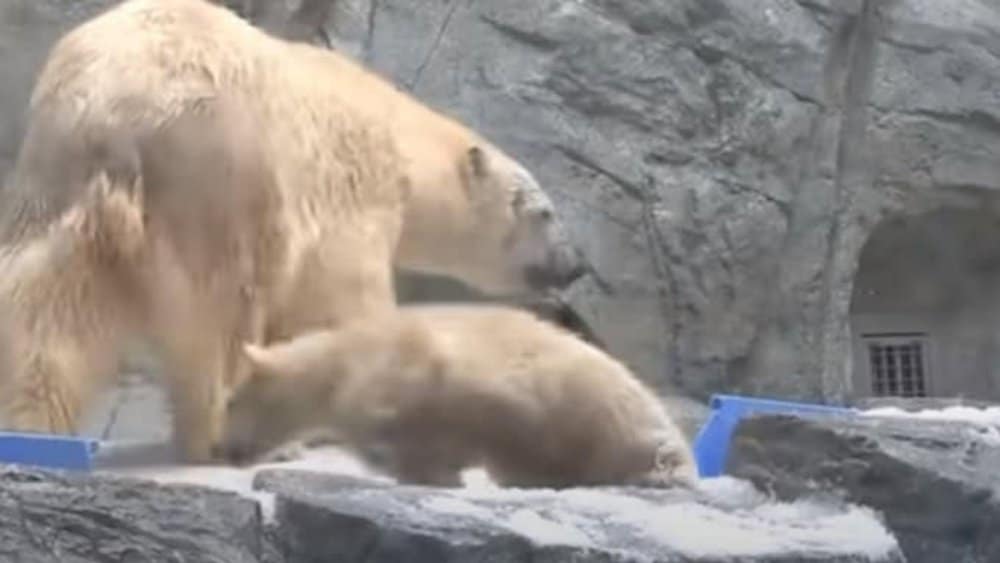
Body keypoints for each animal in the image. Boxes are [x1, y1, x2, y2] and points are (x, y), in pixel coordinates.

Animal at [0, 0, 584, 463]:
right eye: (543, 212)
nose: (574, 265)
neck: (400, 138)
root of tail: (117, 107)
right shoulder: (347, 195)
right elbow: (341, 301)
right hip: (217, 175)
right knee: (220, 314)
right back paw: (224, 435)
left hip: (57, 171)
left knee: (46, 306)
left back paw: (30, 424)